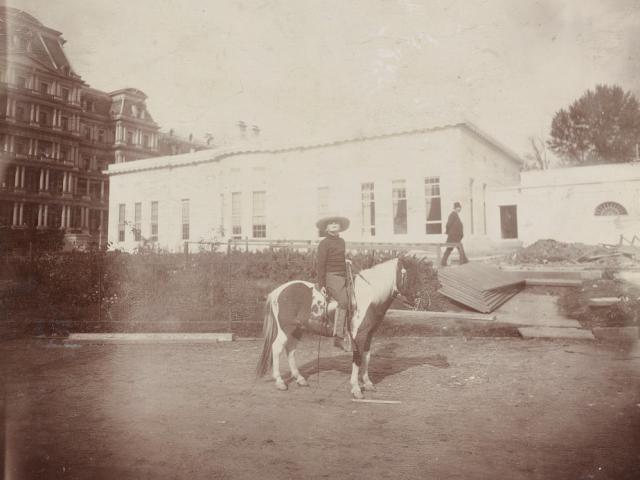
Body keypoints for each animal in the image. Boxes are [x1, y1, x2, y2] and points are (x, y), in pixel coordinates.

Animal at [255, 256, 424, 400]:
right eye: (408, 275)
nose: (418, 298)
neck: (368, 297)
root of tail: (278, 291)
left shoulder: (369, 334)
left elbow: (367, 357)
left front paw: (368, 383)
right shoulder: (358, 335)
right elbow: (357, 358)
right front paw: (356, 389)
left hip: (297, 329)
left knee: (290, 350)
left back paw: (300, 379)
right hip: (286, 329)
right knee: (276, 348)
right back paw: (280, 382)